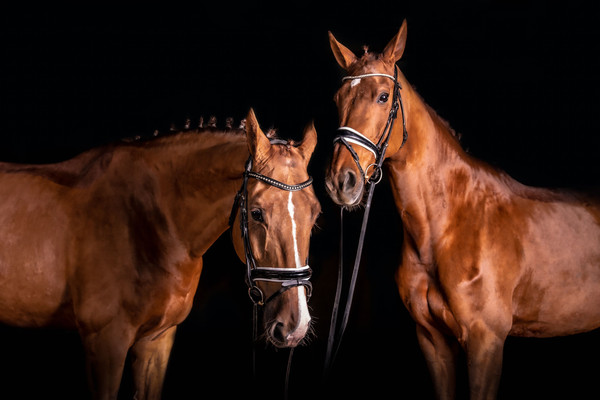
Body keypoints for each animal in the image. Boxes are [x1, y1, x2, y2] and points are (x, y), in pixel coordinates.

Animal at [0, 109, 322, 400]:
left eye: (315, 213)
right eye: (256, 213)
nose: (295, 326)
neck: (150, 224)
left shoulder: (157, 340)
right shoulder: (104, 344)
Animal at [326, 21, 600, 400]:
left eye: (382, 96)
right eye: (337, 99)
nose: (341, 181)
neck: (447, 226)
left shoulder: (486, 343)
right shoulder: (433, 341)